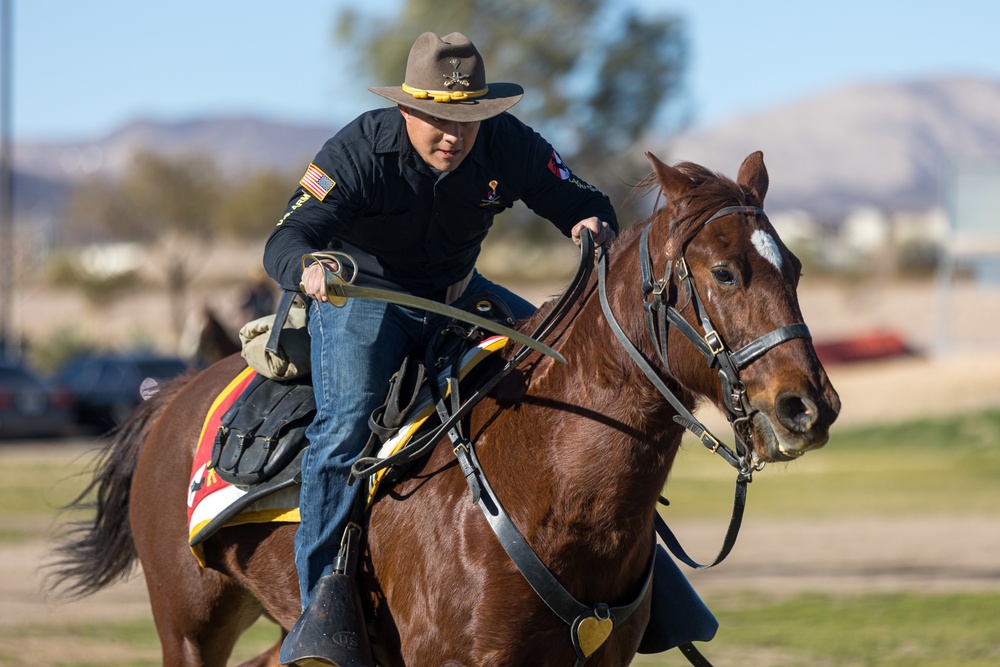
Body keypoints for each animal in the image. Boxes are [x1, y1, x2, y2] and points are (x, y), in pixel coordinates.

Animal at [50, 153, 840, 667]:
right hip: (187, 627)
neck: (547, 482)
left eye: (796, 267)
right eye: (725, 271)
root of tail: (173, 399)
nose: (810, 406)